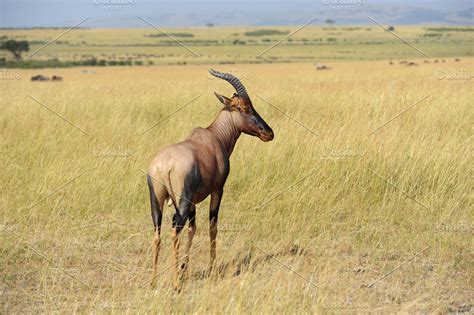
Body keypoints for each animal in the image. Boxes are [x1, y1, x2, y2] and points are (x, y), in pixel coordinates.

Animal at [148, 69, 274, 288]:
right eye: (245, 108)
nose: (269, 133)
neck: (214, 138)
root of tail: (164, 165)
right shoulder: (217, 190)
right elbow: (212, 227)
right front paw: (212, 269)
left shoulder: (193, 202)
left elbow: (193, 229)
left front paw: (185, 269)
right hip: (180, 202)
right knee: (174, 231)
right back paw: (175, 283)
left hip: (157, 201)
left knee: (157, 233)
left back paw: (154, 281)